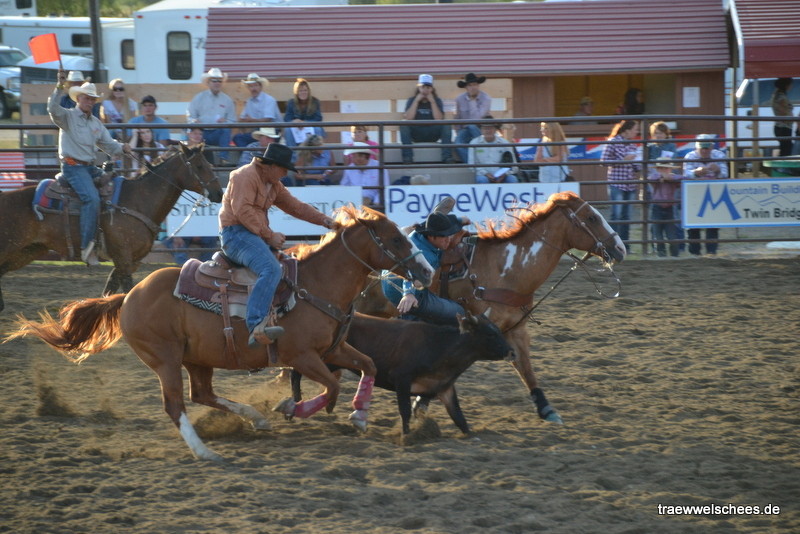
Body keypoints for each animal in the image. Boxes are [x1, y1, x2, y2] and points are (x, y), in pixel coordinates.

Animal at [0, 144, 223, 314]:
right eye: (200, 166)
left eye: (209, 164)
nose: (219, 193)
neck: (138, 201)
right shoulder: (123, 258)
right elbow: (128, 290)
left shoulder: (130, 260)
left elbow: (110, 290)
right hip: (10, 247)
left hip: (28, 251)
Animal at [6, 207, 432, 462]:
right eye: (396, 239)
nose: (427, 272)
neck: (315, 285)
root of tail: (129, 295)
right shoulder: (302, 356)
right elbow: (331, 387)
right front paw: (291, 408)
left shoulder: (335, 348)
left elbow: (368, 366)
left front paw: (359, 415)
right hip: (165, 359)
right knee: (175, 404)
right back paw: (205, 452)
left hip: (198, 358)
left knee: (202, 394)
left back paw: (254, 420)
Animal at [360, 191, 628, 426]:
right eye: (592, 218)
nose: (620, 248)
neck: (507, 269)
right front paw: (421, 402)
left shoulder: (515, 331)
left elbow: (526, 369)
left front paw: (546, 408)